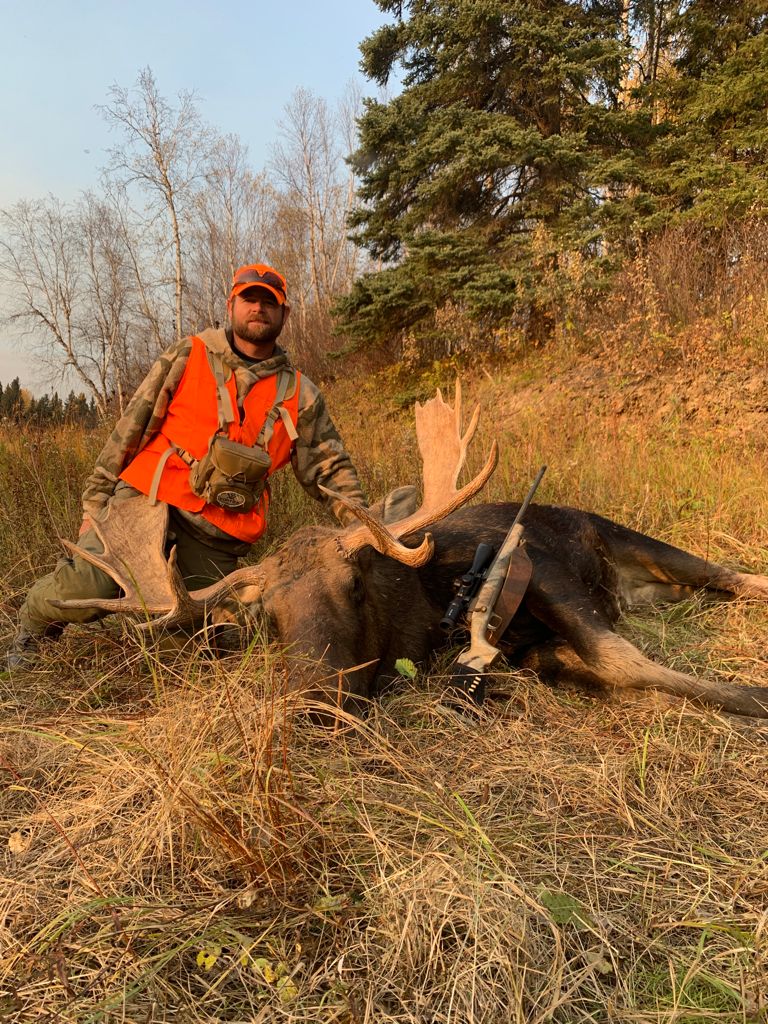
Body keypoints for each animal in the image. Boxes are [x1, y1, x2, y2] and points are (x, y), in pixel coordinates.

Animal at [57, 385, 768, 720]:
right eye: (270, 617)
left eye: (354, 584)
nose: (314, 700)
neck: (424, 615)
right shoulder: (532, 650)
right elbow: (587, 664)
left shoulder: (543, 572)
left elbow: (623, 660)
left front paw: (751, 695)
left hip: (630, 536)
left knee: (731, 573)